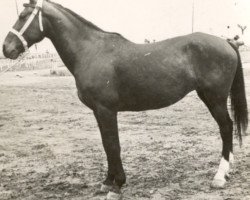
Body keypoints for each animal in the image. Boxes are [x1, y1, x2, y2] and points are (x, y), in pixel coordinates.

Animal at [1, 0, 248, 199]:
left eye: (22, 16)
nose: (6, 48)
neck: (91, 51)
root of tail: (227, 42)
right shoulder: (98, 111)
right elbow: (106, 144)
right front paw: (107, 181)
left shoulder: (106, 110)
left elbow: (113, 145)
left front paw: (117, 185)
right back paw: (227, 170)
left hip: (215, 98)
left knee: (226, 127)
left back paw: (219, 176)